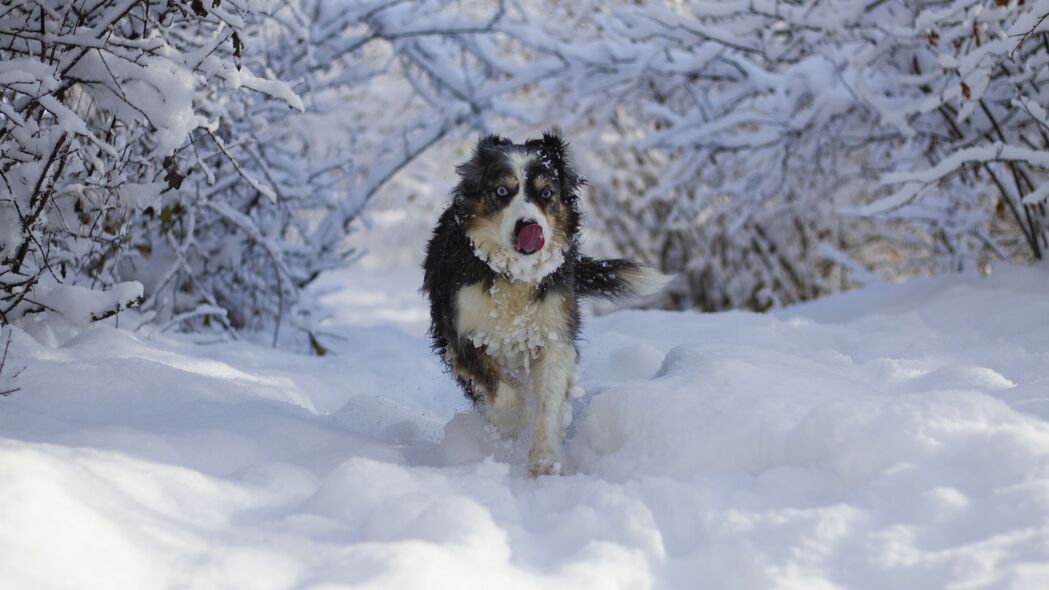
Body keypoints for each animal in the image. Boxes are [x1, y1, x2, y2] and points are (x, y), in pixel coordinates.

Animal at [421, 132, 667, 472]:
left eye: (546, 192)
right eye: (501, 191)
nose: (529, 226)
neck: (513, 275)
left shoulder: (553, 330)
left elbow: (550, 397)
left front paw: (545, 461)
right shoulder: (461, 332)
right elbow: (498, 387)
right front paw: (514, 419)